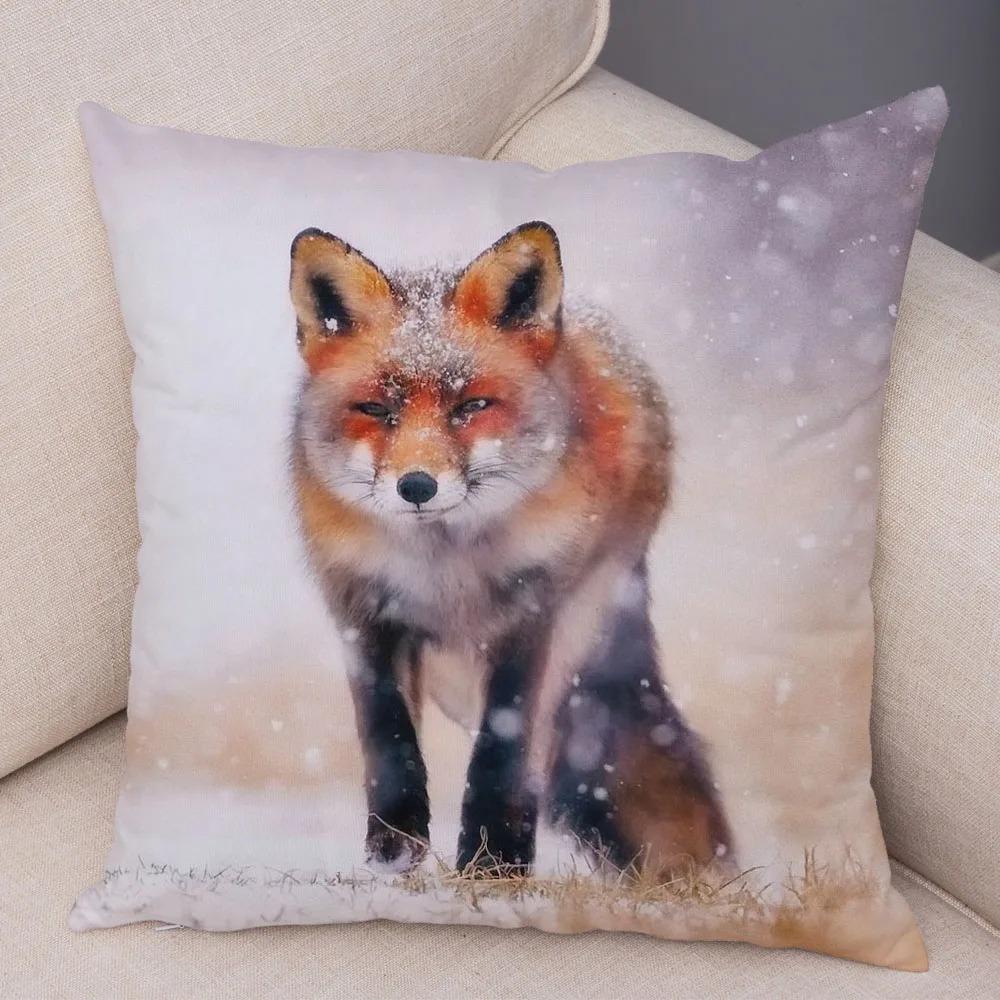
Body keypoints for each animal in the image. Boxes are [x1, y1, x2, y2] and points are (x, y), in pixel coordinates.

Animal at [288, 221, 731, 878]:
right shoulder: (361, 611)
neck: (444, 566)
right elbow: (389, 741)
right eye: (376, 409)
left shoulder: (531, 611)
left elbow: (503, 748)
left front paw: (493, 862)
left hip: (580, 618)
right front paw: (393, 854)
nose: (416, 486)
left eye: (471, 406)